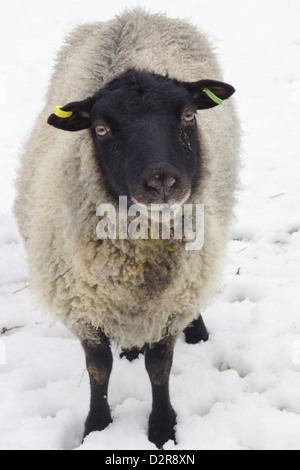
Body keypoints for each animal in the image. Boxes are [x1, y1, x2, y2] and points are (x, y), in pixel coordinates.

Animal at [14, 8, 241, 448]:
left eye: (189, 115)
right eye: (100, 129)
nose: (163, 182)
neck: (140, 261)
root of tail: (137, 13)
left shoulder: (171, 302)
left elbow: (159, 367)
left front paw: (162, 429)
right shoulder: (82, 304)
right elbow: (98, 368)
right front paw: (96, 426)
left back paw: (197, 332)